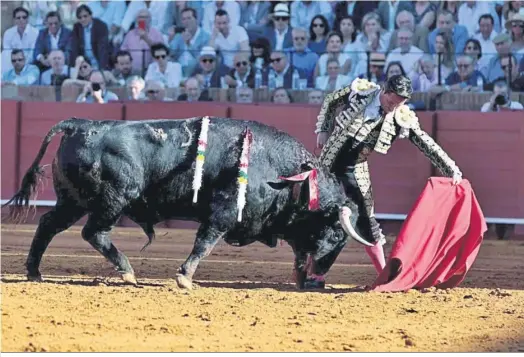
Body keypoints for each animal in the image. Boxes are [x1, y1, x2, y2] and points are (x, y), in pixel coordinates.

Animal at [4, 117, 372, 290]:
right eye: (337, 234)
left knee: (48, 225)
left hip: (72, 201)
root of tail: (79, 124)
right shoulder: (223, 212)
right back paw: (127, 272)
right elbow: (205, 243)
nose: (321, 273)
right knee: (93, 233)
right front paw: (184, 277)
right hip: (114, 198)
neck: (279, 172)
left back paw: (34, 272)